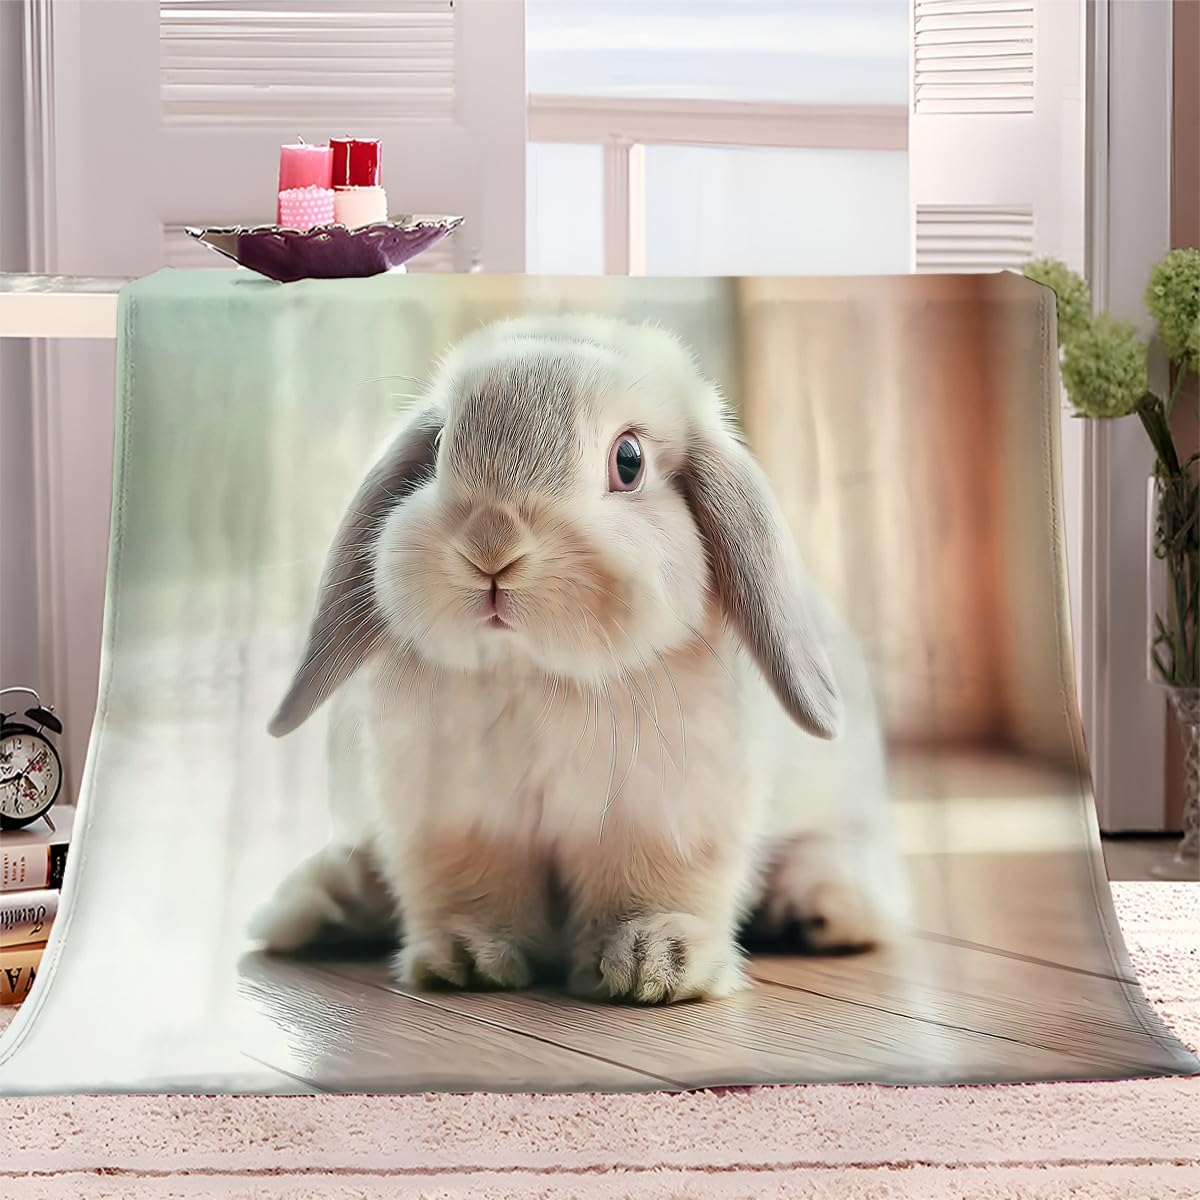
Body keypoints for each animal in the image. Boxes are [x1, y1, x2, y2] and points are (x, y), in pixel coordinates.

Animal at [248, 314, 911, 1004]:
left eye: (629, 461)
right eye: (437, 451)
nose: (491, 544)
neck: (538, 675)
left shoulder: (662, 820)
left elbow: (658, 892)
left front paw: (653, 968)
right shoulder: (456, 821)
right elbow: (470, 890)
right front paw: (467, 961)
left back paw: (819, 909)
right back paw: (318, 907)